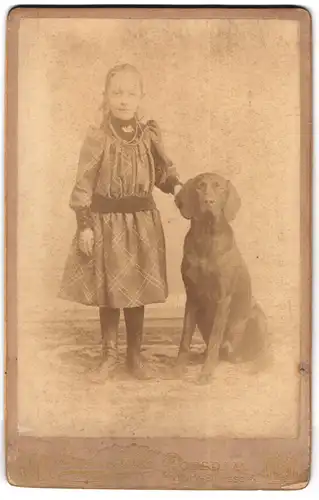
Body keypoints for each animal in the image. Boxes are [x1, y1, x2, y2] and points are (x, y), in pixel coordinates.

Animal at [176, 172, 268, 382]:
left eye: (220, 188)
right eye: (200, 186)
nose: (209, 201)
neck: (206, 238)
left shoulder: (223, 298)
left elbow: (215, 339)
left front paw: (206, 372)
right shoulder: (192, 298)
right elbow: (185, 336)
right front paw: (178, 367)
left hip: (257, 316)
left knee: (261, 352)